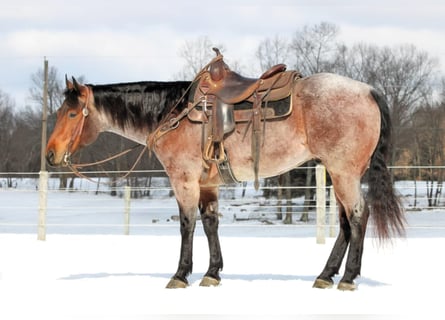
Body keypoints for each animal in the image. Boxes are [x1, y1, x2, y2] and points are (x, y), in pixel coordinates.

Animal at [46, 52, 404, 290]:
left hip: (344, 172)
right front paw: (212, 273)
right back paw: (326, 275)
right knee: (345, 222)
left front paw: (180, 275)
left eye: (73, 113)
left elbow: (187, 225)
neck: (172, 113)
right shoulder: (207, 184)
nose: (50, 154)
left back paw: (347, 278)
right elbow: (210, 223)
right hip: (337, 173)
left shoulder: (183, 180)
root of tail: (368, 91)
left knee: (358, 215)